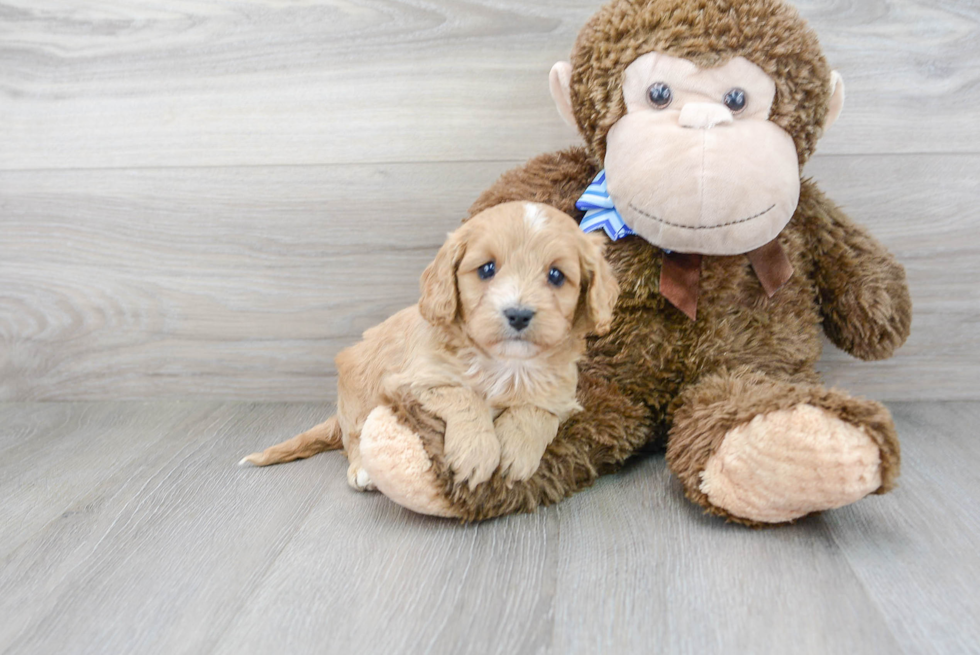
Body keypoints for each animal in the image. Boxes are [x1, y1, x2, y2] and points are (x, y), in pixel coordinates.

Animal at [240, 202, 616, 490]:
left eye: (556, 275)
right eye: (487, 269)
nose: (519, 314)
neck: (506, 364)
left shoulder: (562, 397)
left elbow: (536, 411)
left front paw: (516, 452)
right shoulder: (411, 381)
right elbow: (464, 396)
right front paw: (477, 452)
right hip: (358, 393)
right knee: (355, 436)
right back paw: (361, 469)